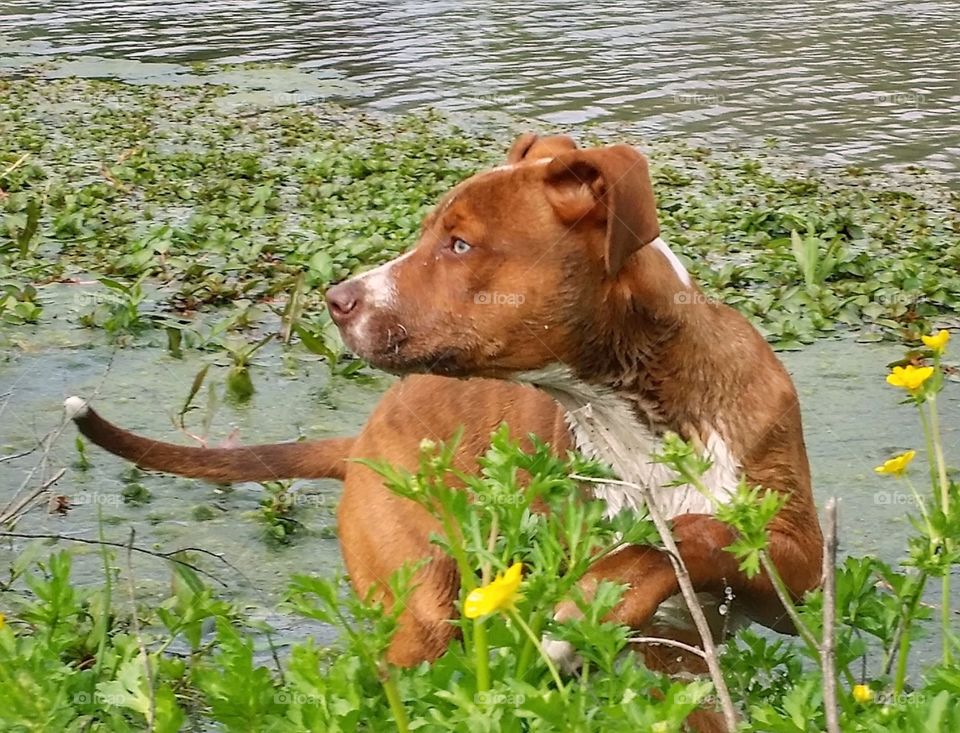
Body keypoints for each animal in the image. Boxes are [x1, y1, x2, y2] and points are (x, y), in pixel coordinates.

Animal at [63, 133, 820, 688]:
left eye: (459, 244)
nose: (337, 300)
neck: (631, 416)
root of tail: (360, 442)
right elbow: (666, 542)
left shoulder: (794, 572)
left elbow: (690, 533)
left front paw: (592, 595)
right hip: (416, 601)